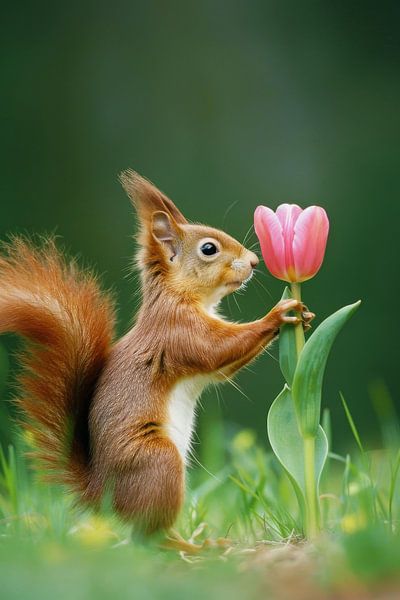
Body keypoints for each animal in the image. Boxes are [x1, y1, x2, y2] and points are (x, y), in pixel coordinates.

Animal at [0, 171, 310, 532]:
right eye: (209, 248)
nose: (254, 261)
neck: (178, 297)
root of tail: (102, 497)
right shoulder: (178, 333)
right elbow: (216, 348)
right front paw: (278, 314)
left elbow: (221, 366)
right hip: (158, 460)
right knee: (147, 534)